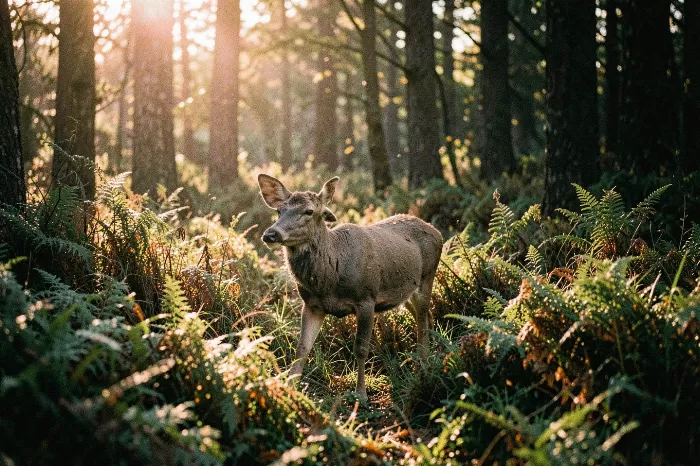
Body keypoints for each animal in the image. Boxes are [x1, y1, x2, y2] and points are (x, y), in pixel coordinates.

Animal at [258, 174, 443, 398]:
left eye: (309, 211)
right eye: (279, 210)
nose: (271, 234)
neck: (330, 280)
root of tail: (437, 232)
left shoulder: (366, 298)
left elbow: (361, 348)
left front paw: (361, 393)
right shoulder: (311, 304)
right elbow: (302, 347)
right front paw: (289, 388)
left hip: (427, 276)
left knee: (423, 320)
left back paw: (423, 366)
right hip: (406, 290)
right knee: (424, 316)